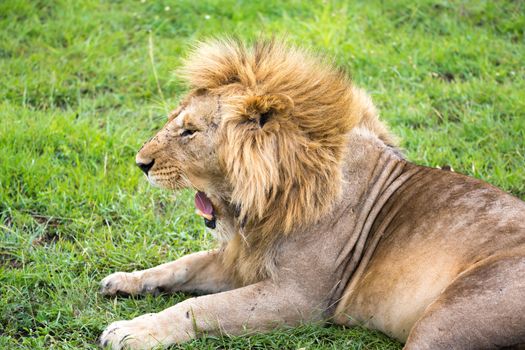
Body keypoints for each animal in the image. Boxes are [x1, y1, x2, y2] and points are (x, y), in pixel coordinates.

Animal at [98, 39, 524, 348]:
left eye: (189, 131)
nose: (140, 163)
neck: (265, 201)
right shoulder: (245, 259)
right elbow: (183, 265)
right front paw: (125, 281)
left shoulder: (300, 297)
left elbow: (199, 306)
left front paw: (133, 331)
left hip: (443, 322)